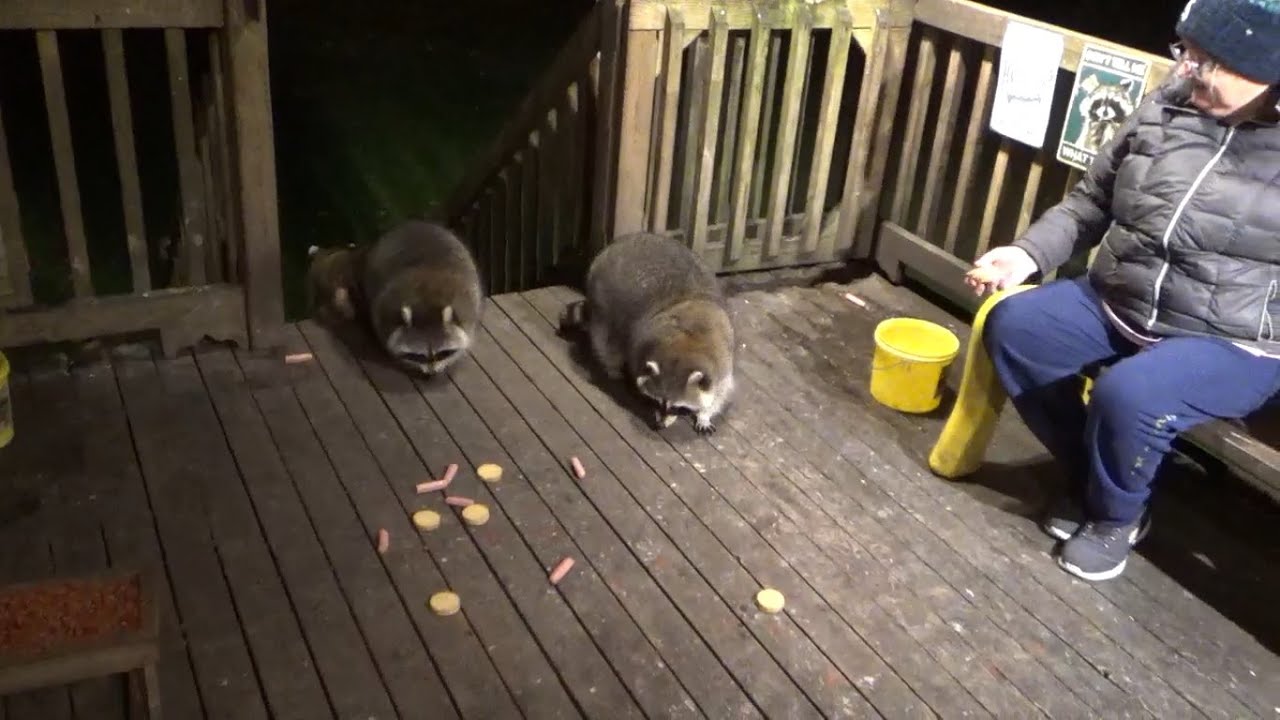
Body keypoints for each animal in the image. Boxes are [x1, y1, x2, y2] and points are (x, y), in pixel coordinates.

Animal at [361, 220, 483, 377]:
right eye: (418, 356)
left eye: (442, 353)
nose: (432, 373)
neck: (426, 303)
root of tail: (414, 223)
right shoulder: (383, 311)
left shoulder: (467, 304)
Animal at [562, 232, 735, 434]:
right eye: (657, 402)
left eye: (677, 407)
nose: (659, 425)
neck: (686, 344)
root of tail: (621, 242)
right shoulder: (640, 345)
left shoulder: (722, 359)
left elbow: (720, 391)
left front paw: (705, 413)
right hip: (603, 297)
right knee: (605, 337)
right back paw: (612, 366)